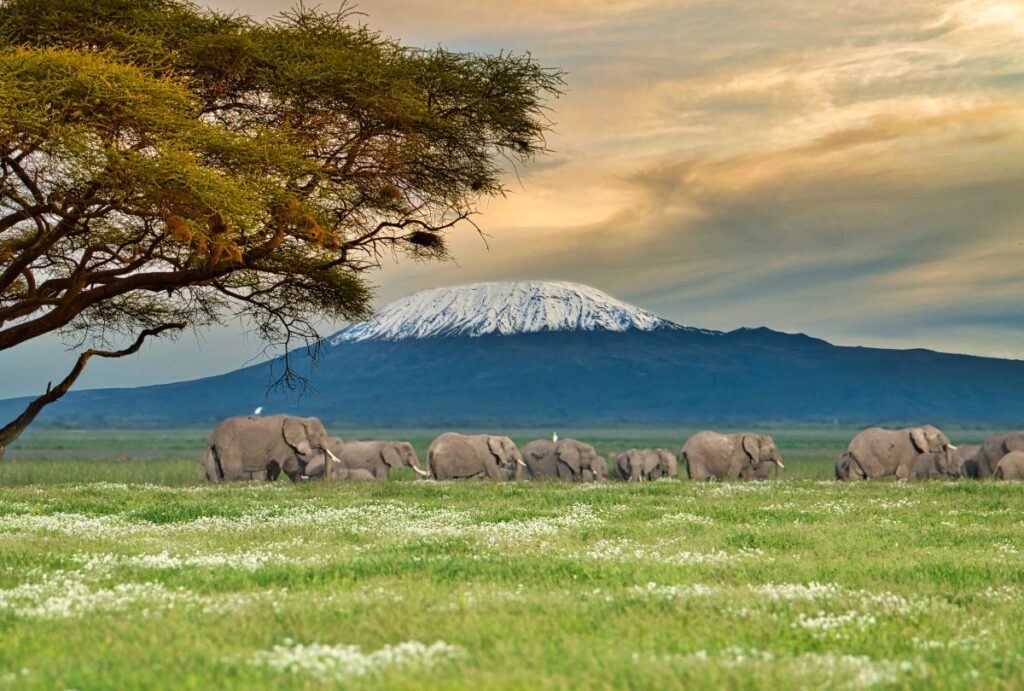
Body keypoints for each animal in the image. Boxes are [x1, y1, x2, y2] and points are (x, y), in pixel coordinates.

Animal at [201, 413, 337, 483]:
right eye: (321, 435)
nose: (324, 481)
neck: (298, 419)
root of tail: (212, 439)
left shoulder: (288, 447)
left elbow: (292, 467)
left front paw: (298, 482)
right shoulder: (280, 444)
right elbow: (275, 465)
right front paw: (271, 483)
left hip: (215, 453)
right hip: (229, 449)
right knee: (233, 474)